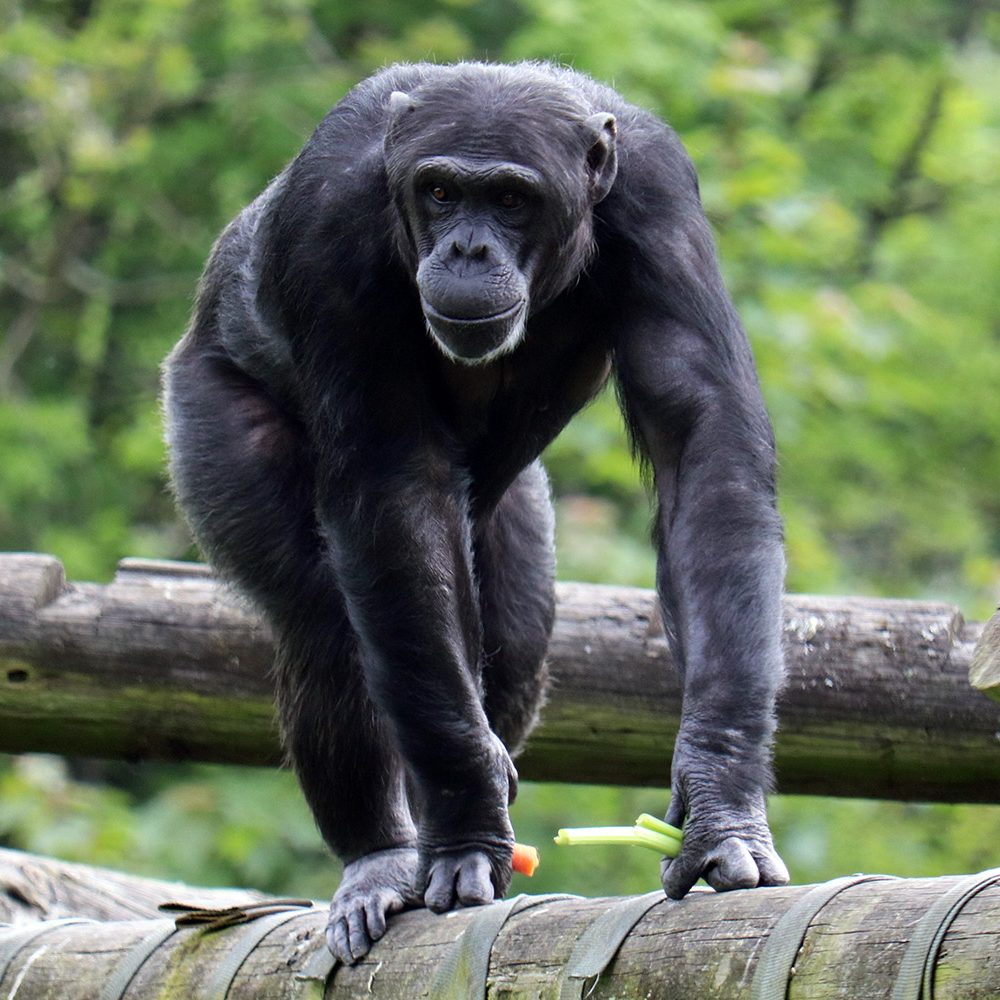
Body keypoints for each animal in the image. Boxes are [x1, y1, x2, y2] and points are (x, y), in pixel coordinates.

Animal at [162, 60, 788, 960]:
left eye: (512, 199)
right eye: (440, 192)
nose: (466, 247)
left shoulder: (661, 197)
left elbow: (702, 447)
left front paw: (718, 798)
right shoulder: (329, 224)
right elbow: (391, 491)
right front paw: (464, 818)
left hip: (510, 509)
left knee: (517, 639)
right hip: (205, 415)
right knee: (326, 624)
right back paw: (383, 857)